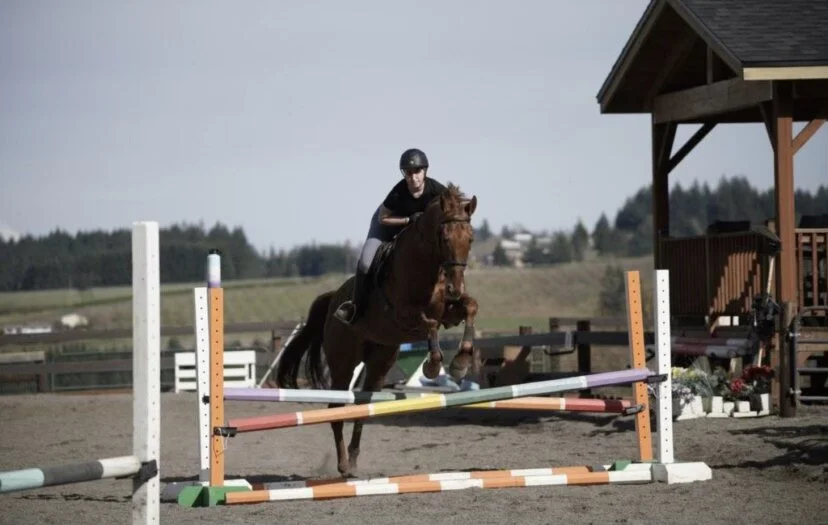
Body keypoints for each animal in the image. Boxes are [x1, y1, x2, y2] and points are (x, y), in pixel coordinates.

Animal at [276, 183, 479, 477]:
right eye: (443, 237)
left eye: (470, 238)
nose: (455, 288)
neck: (425, 265)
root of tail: (333, 299)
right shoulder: (404, 316)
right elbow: (429, 324)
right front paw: (432, 366)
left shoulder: (449, 311)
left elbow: (471, 307)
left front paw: (461, 363)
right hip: (343, 363)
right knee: (336, 408)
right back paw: (342, 464)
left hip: (380, 361)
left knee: (362, 407)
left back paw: (353, 459)